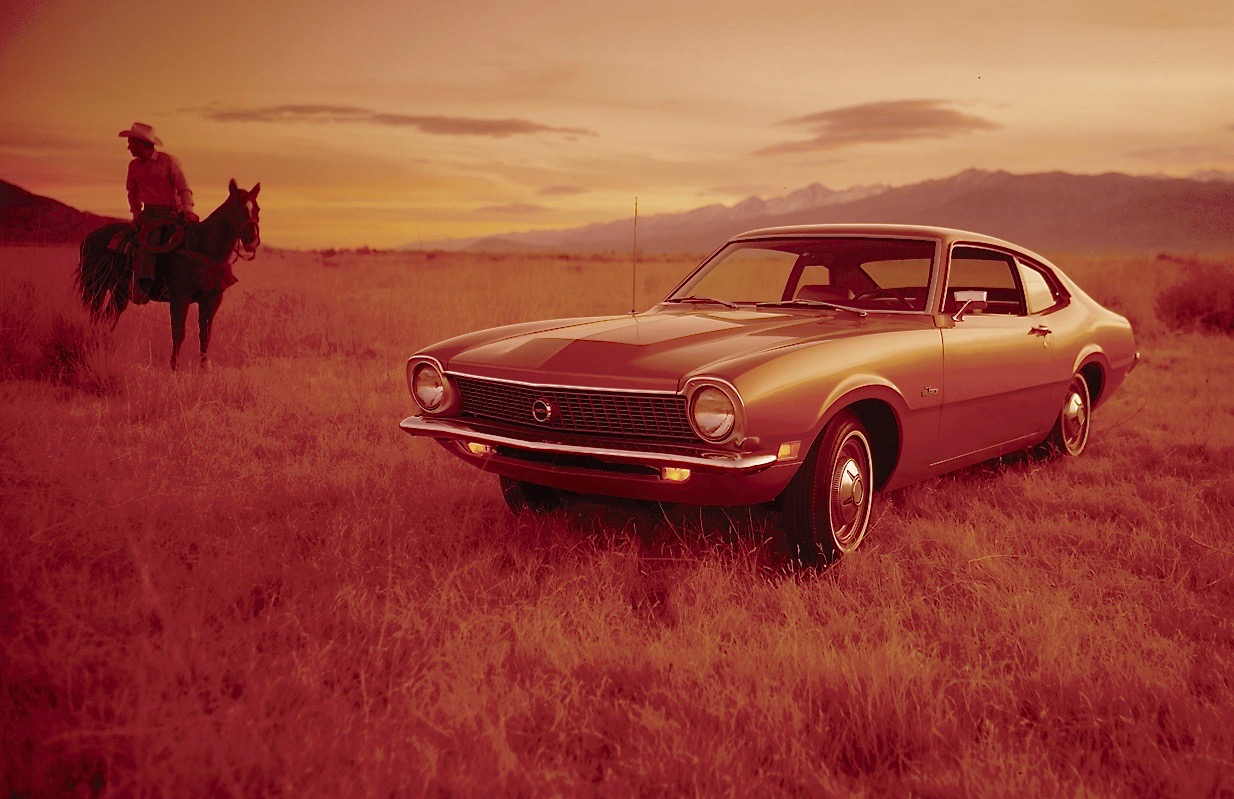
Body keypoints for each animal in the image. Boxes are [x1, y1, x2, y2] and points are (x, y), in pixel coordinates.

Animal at [77, 180, 260, 370]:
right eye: (235, 209)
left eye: (257, 209)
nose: (252, 241)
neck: (203, 248)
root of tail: (89, 237)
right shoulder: (180, 298)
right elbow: (179, 333)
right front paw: (174, 369)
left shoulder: (211, 301)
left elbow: (205, 336)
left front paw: (204, 369)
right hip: (95, 286)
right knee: (95, 316)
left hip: (119, 292)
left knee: (108, 318)